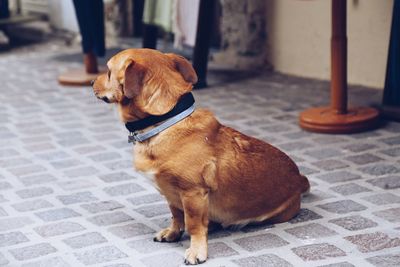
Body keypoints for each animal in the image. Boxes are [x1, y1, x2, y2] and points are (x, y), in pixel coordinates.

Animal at [93, 48, 310, 266]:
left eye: (109, 72)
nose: (92, 81)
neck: (164, 121)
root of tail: (299, 179)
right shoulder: (172, 195)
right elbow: (177, 217)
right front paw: (173, 233)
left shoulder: (193, 194)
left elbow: (193, 225)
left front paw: (197, 249)